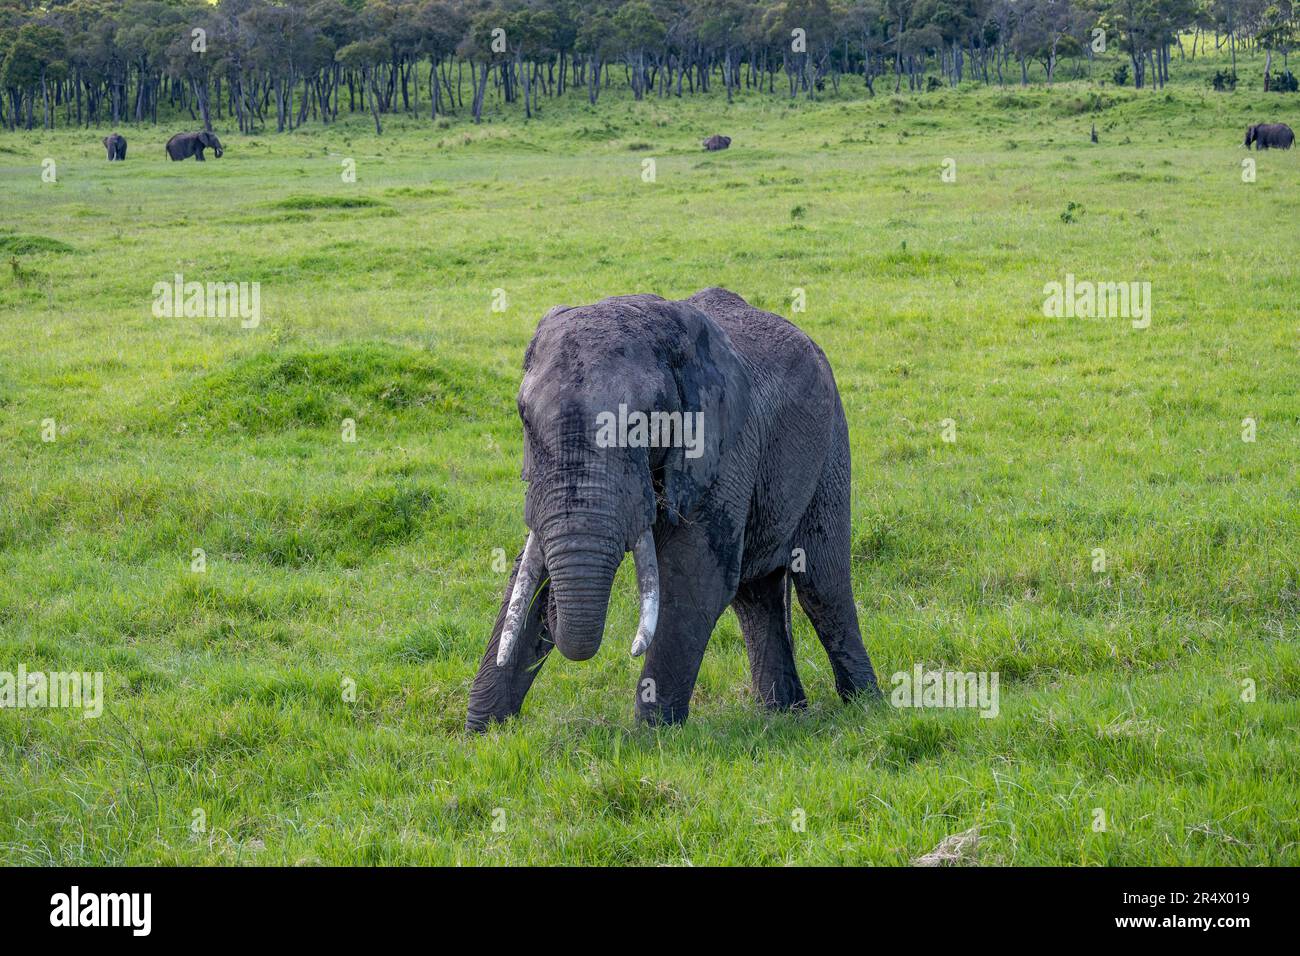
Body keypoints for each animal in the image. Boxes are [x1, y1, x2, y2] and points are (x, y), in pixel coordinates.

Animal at [466, 288, 880, 731]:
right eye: (524, 419)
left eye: (640, 426)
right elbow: (526, 573)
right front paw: (481, 734)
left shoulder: (723, 446)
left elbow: (694, 576)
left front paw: (652, 736)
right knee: (756, 594)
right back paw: (784, 713)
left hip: (832, 441)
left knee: (822, 584)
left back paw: (865, 706)